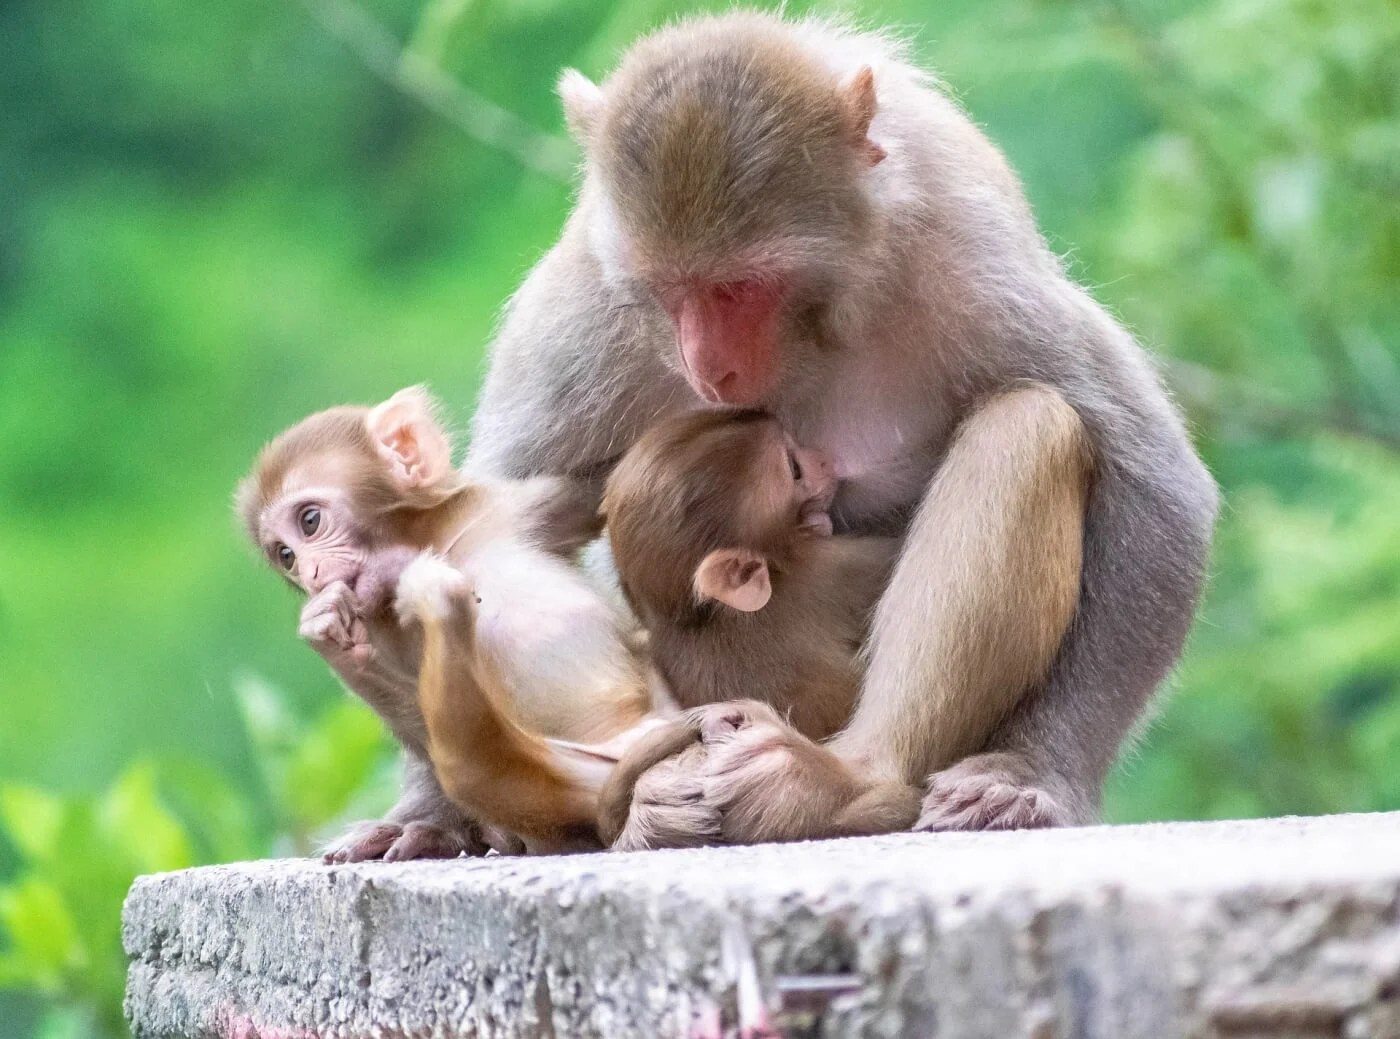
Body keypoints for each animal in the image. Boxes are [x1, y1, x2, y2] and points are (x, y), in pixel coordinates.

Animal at [237, 386, 655, 859]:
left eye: (310, 521)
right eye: (285, 555)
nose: (309, 575)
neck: (435, 545)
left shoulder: (511, 507)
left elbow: (597, 487)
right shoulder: (379, 621)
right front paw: (329, 638)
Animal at [465, 12, 1218, 843]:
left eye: (739, 287)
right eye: (669, 291)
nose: (708, 367)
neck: (813, 327)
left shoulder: (971, 262)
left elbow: (1152, 478)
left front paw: (1036, 770)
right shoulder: (585, 306)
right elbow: (481, 529)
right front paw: (431, 816)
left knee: (1028, 422)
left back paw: (846, 783)